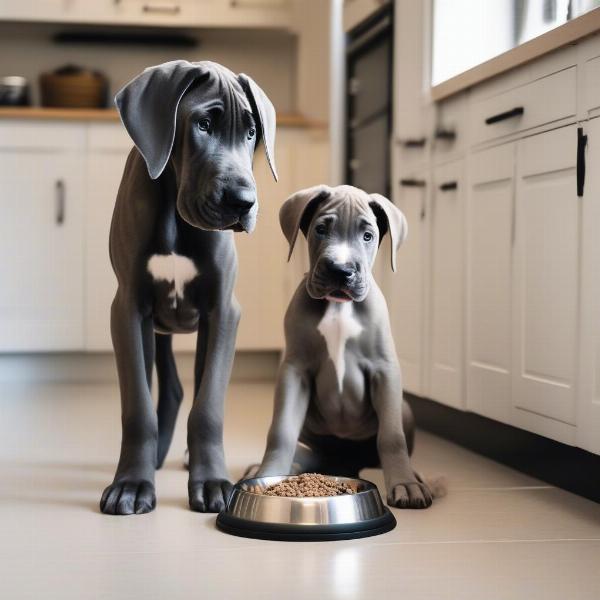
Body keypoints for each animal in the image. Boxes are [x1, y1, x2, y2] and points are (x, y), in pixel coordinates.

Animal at [100, 61, 276, 516]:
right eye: (203, 124)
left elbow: (209, 406)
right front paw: (132, 483)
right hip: (154, 326)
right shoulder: (128, 308)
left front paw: (212, 480)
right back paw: (157, 456)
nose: (243, 202)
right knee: (168, 388)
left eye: (252, 132)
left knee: (191, 388)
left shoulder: (223, 311)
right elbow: (138, 407)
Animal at [255, 185, 434, 508]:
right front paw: (268, 474)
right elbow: (280, 431)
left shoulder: (384, 370)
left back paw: (413, 474)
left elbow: (392, 437)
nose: (341, 270)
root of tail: (345, 464)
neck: (339, 306)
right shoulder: (295, 370)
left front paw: (405, 483)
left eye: (368, 236)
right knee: (307, 452)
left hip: (404, 408)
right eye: (321, 230)